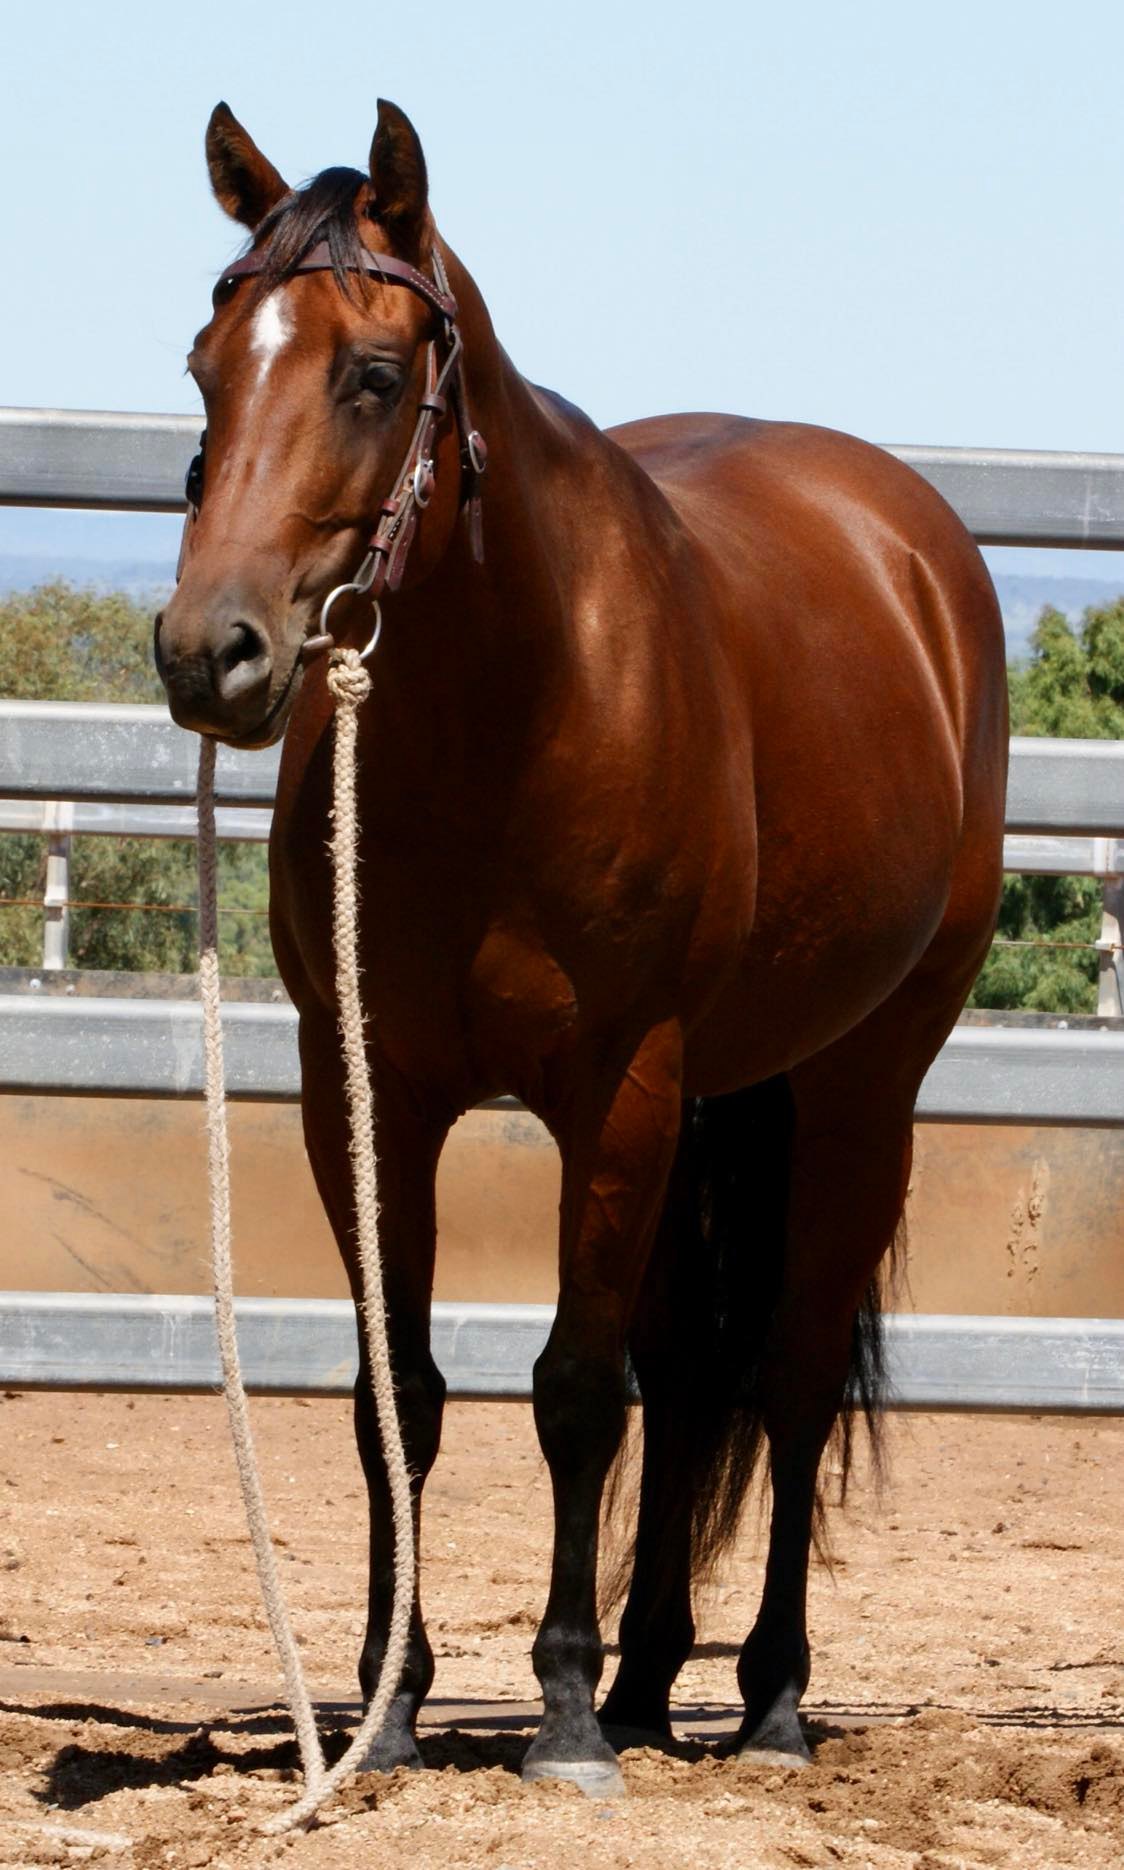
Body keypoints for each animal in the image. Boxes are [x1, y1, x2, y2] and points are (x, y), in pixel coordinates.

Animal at [155, 98, 1007, 1794]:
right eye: (209, 361)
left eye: (374, 373)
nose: (211, 651)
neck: (512, 712)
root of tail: (910, 550)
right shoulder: (369, 1088)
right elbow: (402, 1393)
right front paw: (389, 1705)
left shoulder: (616, 1086)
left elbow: (567, 1391)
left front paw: (553, 1711)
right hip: (711, 1101)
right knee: (685, 1374)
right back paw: (649, 1677)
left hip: (855, 1083)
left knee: (784, 1375)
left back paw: (766, 1699)